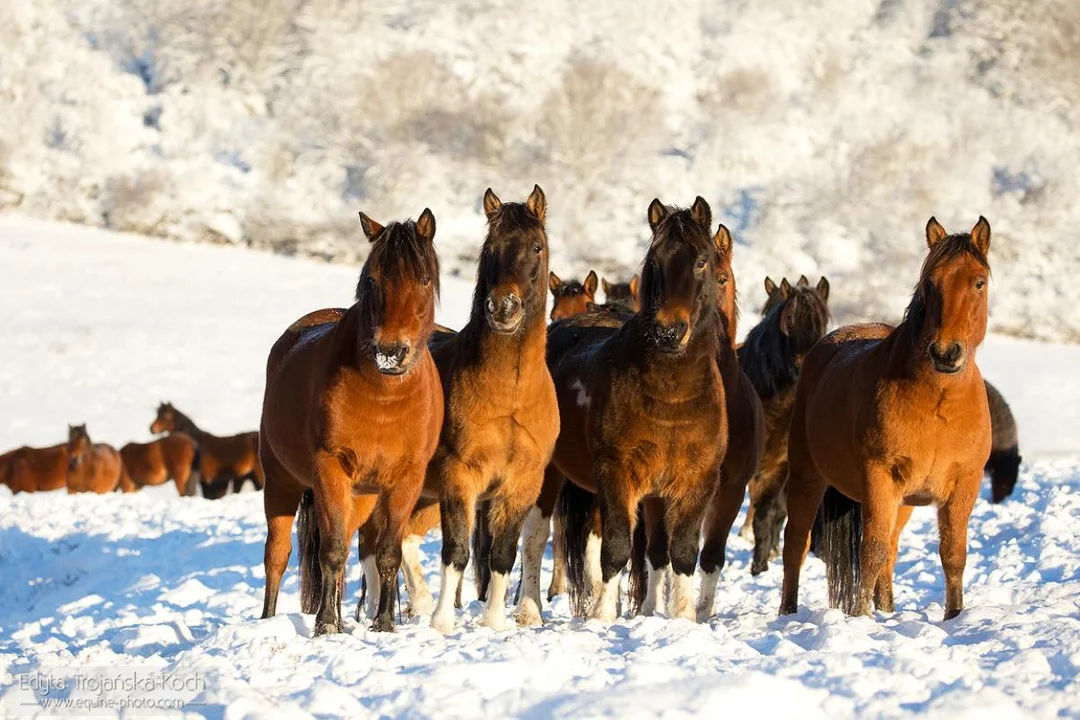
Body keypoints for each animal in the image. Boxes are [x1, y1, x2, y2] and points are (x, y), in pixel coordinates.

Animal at [258, 208, 442, 634]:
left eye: (424, 279)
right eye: (372, 280)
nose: (390, 352)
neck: (384, 400)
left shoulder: (406, 479)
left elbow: (389, 552)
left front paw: (384, 623)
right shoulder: (330, 468)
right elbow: (332, 549)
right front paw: (327, 625)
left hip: (363, 494)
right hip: (281, 480)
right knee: (277, 555)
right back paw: (269, 620)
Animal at [416, 185, 557, 634]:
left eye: (536, 246)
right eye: (490, 247)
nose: (502, 308)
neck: (509, 395)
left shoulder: (521, 484)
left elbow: (502, 555)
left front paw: (495, 621)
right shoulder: (460, 478)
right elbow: (457, 552)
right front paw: (442, 622)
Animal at [552, 198, 721, 626]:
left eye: (701, 261)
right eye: (655, 261)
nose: (669, 331)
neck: (672, 400)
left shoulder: (695, 483)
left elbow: (681, 552)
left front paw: (682, 618)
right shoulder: (617, 475)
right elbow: (615, 548)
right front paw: (601, 617)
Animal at [738, 276, 829, 574]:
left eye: (822, 321)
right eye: (789, 320)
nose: (805, 365)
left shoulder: (777, 467)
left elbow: (768, 513)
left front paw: (760, 564)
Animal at [786, 215, 993, 621]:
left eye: (979, 282)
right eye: (930, 283)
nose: (945, 353)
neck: (938, 405)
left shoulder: (965, 482)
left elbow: (953, 553)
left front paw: (955, 616)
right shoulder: (878, 477)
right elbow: (872, 549)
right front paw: (860, 617)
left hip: (903, 502)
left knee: (893, 552)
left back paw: (887, 608)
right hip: (806, 476)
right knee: (795, 547)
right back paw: (787, 613)